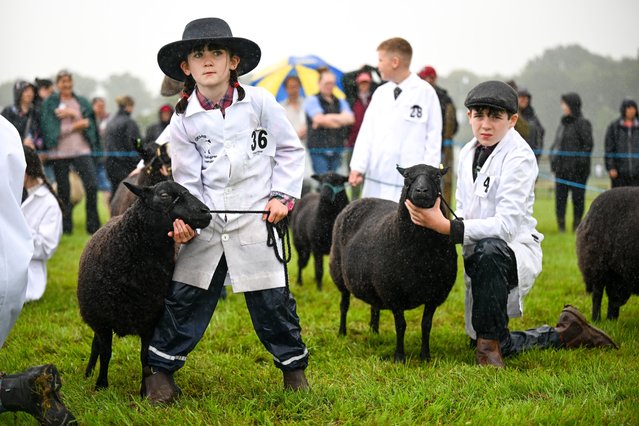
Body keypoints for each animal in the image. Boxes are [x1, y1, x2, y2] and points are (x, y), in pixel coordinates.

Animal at [77, 180, 211, 390]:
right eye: (164, 195)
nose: (206, 212)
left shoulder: (150, 321)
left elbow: (145, 357)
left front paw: (144, 389)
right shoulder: (102, 320)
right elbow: (106, 353)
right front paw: (101, 385)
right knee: (96, 346)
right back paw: (88, 373)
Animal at [330, 165, 456, 362]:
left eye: (437, 176)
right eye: (406, 178)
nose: (421, 190)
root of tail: (359, 200)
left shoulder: (435, 294)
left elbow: (426, 325)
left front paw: (425, 357)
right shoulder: (393, 293)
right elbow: (401, 325)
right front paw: (399, 357)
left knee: (374, 306)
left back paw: (374, 332)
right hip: (339, 274)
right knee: (344, 305)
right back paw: (342, 333)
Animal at [576, 186, 639, 320]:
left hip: (617, 272)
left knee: (613, 298)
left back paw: (611, 320)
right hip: (598, 265)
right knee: (598, 295)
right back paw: (597, 320)